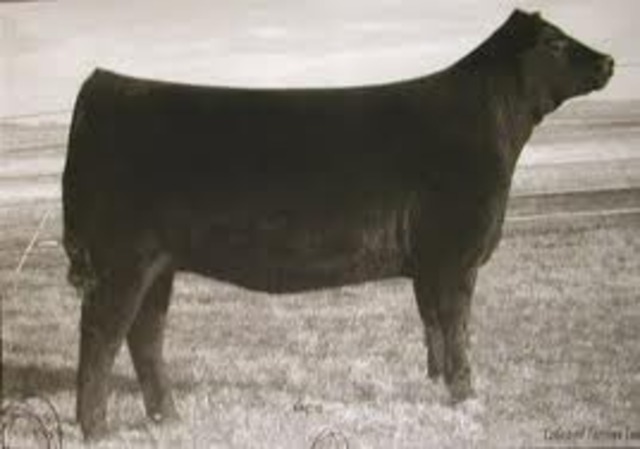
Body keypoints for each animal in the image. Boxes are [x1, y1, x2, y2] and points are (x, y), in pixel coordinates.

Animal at [62, 9, 613, 440]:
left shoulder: (430, 264)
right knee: (101, 333)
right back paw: (97, 428)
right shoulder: (455, 254)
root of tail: (104, 83)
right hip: (122, 258)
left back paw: (169, 419)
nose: (608, 61)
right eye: (555, 42)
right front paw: (466, 397)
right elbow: (457, 326)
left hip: (159, 264)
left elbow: (433, 325)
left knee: (145, 335)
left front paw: (435, 387)